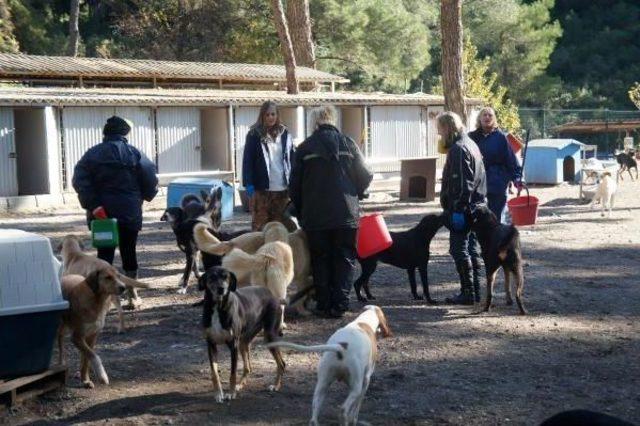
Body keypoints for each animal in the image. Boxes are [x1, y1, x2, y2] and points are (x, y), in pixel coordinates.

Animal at [200, 266, 284, 402]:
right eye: (212, 277)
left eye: (225, 277)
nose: (221, 289)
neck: (218, 307)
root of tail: (271, 293)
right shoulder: (211, 344)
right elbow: (214, 372)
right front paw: (218, 394)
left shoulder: (233, 346)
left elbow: (233, 373)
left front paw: (231, 393)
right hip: (243, 343)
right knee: (248, 367)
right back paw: (240, 385)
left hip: (269, 337)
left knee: (282, 364)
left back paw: (275, 386)